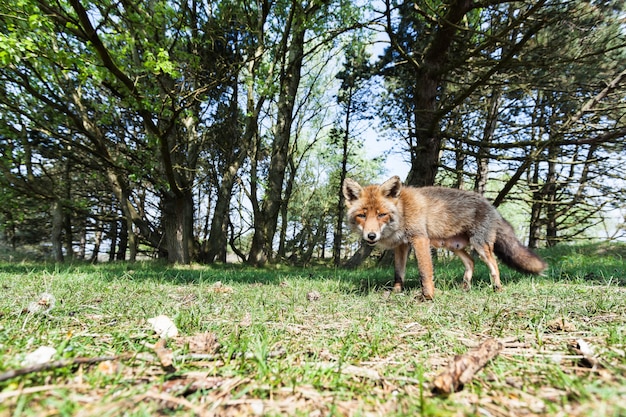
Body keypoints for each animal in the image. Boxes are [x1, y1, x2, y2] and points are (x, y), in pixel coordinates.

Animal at [342, 176, 544, 300]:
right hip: (454, 246)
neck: (403, 211)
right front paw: (396, 292)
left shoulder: (419, 239)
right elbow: (399, 273)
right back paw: (465, 288)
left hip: (480, 246)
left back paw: (497, 288)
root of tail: (492, 206)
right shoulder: (401, 246)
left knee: (494, 266)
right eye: (362, 215)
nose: (371, 236)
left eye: (381, 214)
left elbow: (425, 272)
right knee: (471, 262)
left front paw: (427, 297)